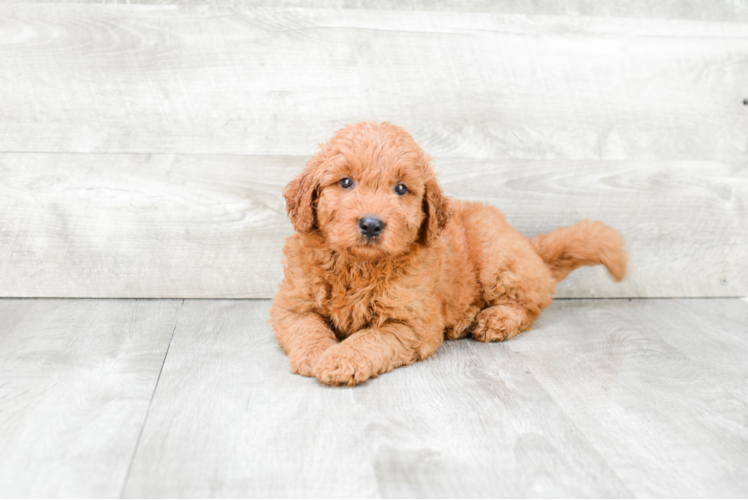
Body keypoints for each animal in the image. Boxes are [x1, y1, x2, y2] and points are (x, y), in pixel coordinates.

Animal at [268, 122, 624, 386]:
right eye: (345, 182)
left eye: (401, 189)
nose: (371, 224)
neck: (358, 266)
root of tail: (529, 246)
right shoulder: (292, 305)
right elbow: (307, 328)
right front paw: (316, 355)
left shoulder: (412, 324)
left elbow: (370, 339)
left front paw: (341, 358)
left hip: (497, 257)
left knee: (530, 302)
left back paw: (495, 320)